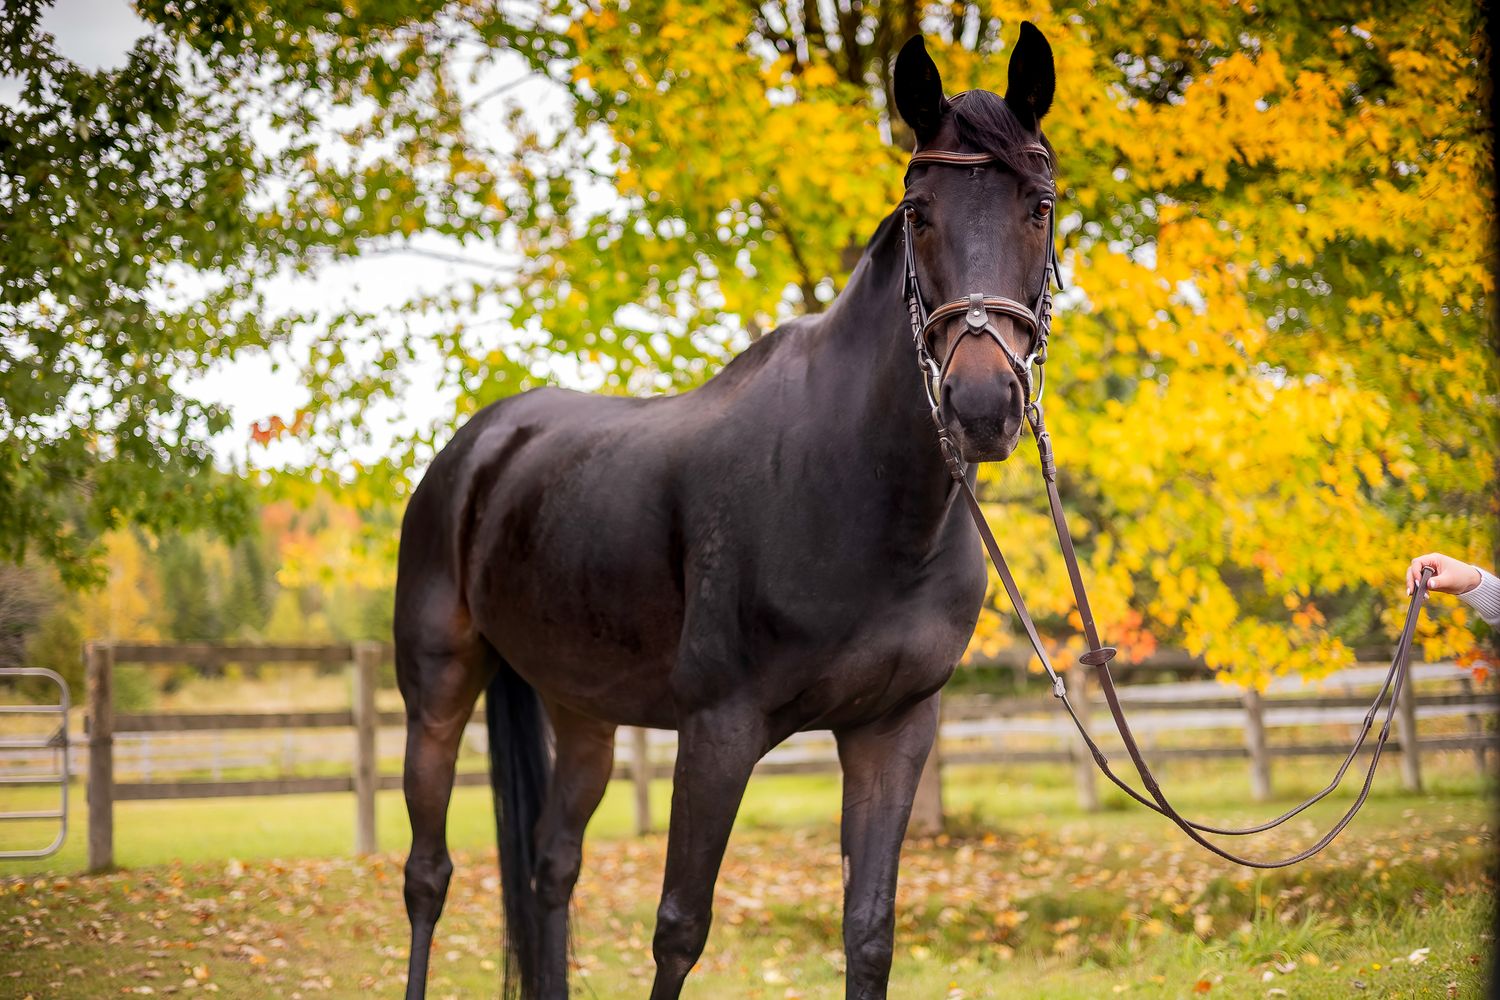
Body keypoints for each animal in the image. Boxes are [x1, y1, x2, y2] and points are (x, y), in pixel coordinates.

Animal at [394, 23, 1061, 1000]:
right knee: (428, 875)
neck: (862, 497)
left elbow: (869, 933)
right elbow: (680, 928)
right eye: (918, 213)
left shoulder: (893, 730)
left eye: (1038, 206)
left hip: (583, 710)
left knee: (551, 866)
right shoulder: (718, 731)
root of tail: (478, 446)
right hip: (437, 689)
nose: (980, 405)